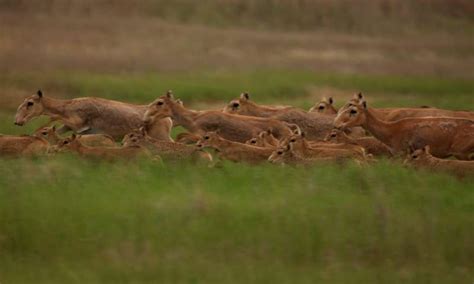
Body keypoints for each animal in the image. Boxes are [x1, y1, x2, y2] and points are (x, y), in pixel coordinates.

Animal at [14, 90, 174, 141]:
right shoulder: (69, 127)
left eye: (30, 103)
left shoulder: (79, 125)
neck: (68, 106)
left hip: (161, 136)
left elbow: (55, 118)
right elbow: (58, 130)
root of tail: (169, 119)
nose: (17, 121)